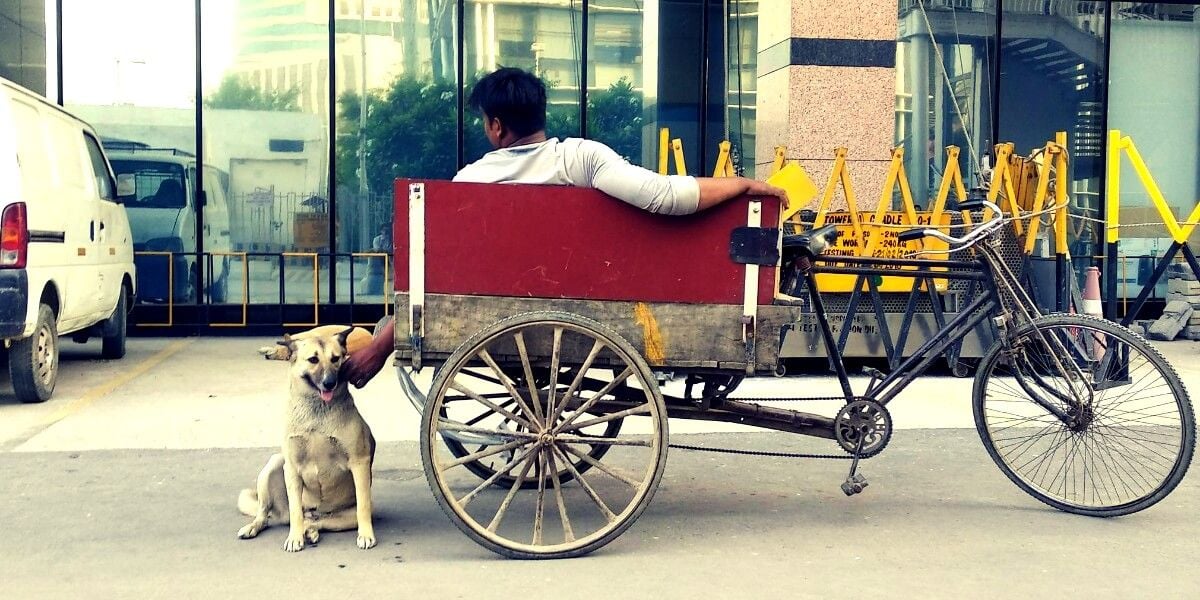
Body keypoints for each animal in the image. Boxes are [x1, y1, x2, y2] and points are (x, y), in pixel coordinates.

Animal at [236, 328, 376, 552]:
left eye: (335, 359)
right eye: (313, 359)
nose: (330, 383)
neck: (317, 411)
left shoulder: (359, 462)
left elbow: (362, 507)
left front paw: (366, 535)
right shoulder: (292, 467)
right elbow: (295, 511)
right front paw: (294, 538)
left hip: (346, 513)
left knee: (318, 521)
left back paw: (311, 531)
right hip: (275, 464)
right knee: (267, 513)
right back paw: (256, 527)